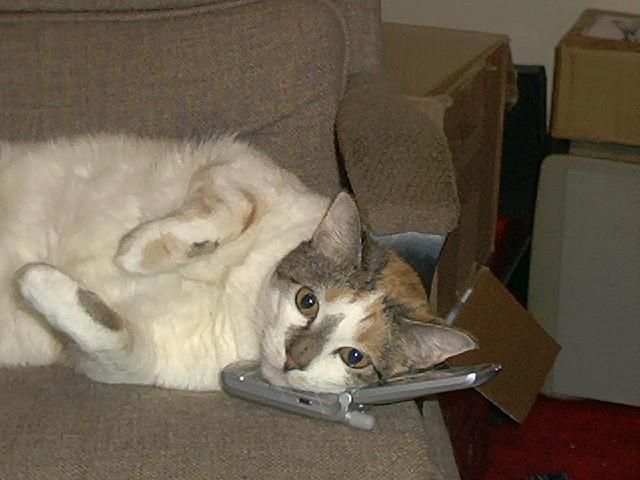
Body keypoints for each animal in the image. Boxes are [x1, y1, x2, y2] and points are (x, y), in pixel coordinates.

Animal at [0, 134, 476, 393]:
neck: (243, 292)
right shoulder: (236, 165)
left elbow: (106, 333)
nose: (294, 359)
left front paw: (35, 280)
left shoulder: (136, 359)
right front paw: (136, 251)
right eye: (308, 301)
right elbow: (229, 210)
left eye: (353, 357)